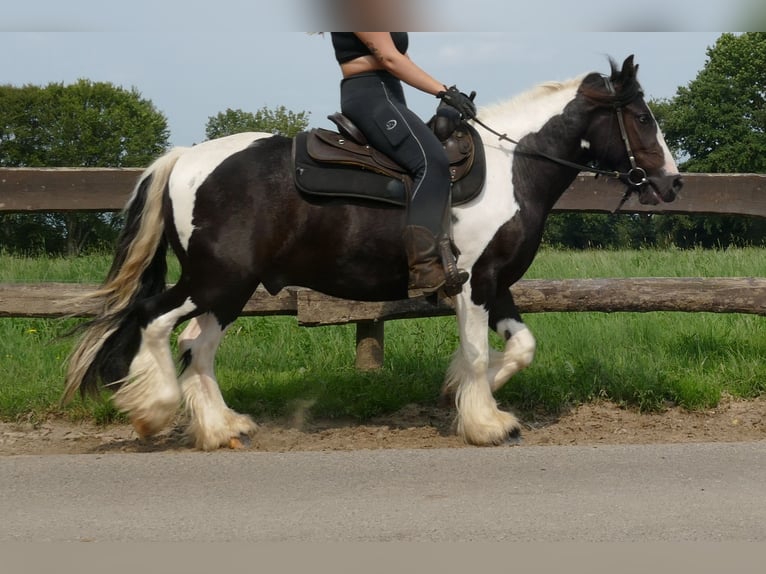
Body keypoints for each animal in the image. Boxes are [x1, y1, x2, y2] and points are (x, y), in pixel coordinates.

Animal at [61, 55, 684, 450]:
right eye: (642, 118)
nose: (673, 183)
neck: (514, 168)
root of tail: (185, 158)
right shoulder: (473, 283)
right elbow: (479, 353)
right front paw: (485, 422)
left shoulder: (498, 283)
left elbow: (521, 347)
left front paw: (461, 392)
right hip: (216, 280)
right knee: (155, 323)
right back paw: (155, 412)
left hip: (229, 288)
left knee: (197, 344)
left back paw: (222, 428)